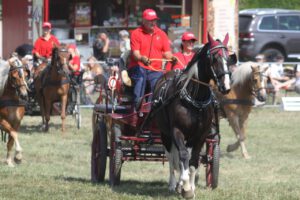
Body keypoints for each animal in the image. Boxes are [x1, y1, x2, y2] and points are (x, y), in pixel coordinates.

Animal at [151, 33, 236, 198]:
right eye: (214, 58)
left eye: (228, 59)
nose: (226, 86)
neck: (195, 99)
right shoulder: (177, 131)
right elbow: (183, 156)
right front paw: (185, 185)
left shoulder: (200, 135)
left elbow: (193, 161)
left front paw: (190, 188)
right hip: (165, 134)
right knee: (171, 157)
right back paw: (173, 184)